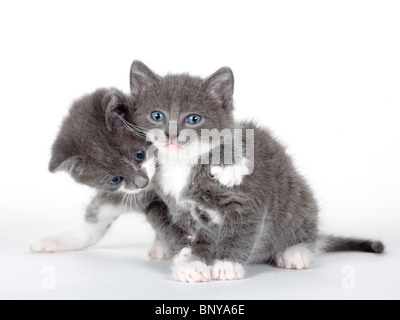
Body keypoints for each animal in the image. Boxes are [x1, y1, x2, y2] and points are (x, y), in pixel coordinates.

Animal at [129, 61, 384, 284]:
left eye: (193, 118)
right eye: (157, 115)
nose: (171, 135)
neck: (182, 164)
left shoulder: (246, 198)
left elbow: (240, 230)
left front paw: (227, 264)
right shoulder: (178, 209)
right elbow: (188, 237)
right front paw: (192, 264)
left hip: (297, 199)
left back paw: (296, 251)